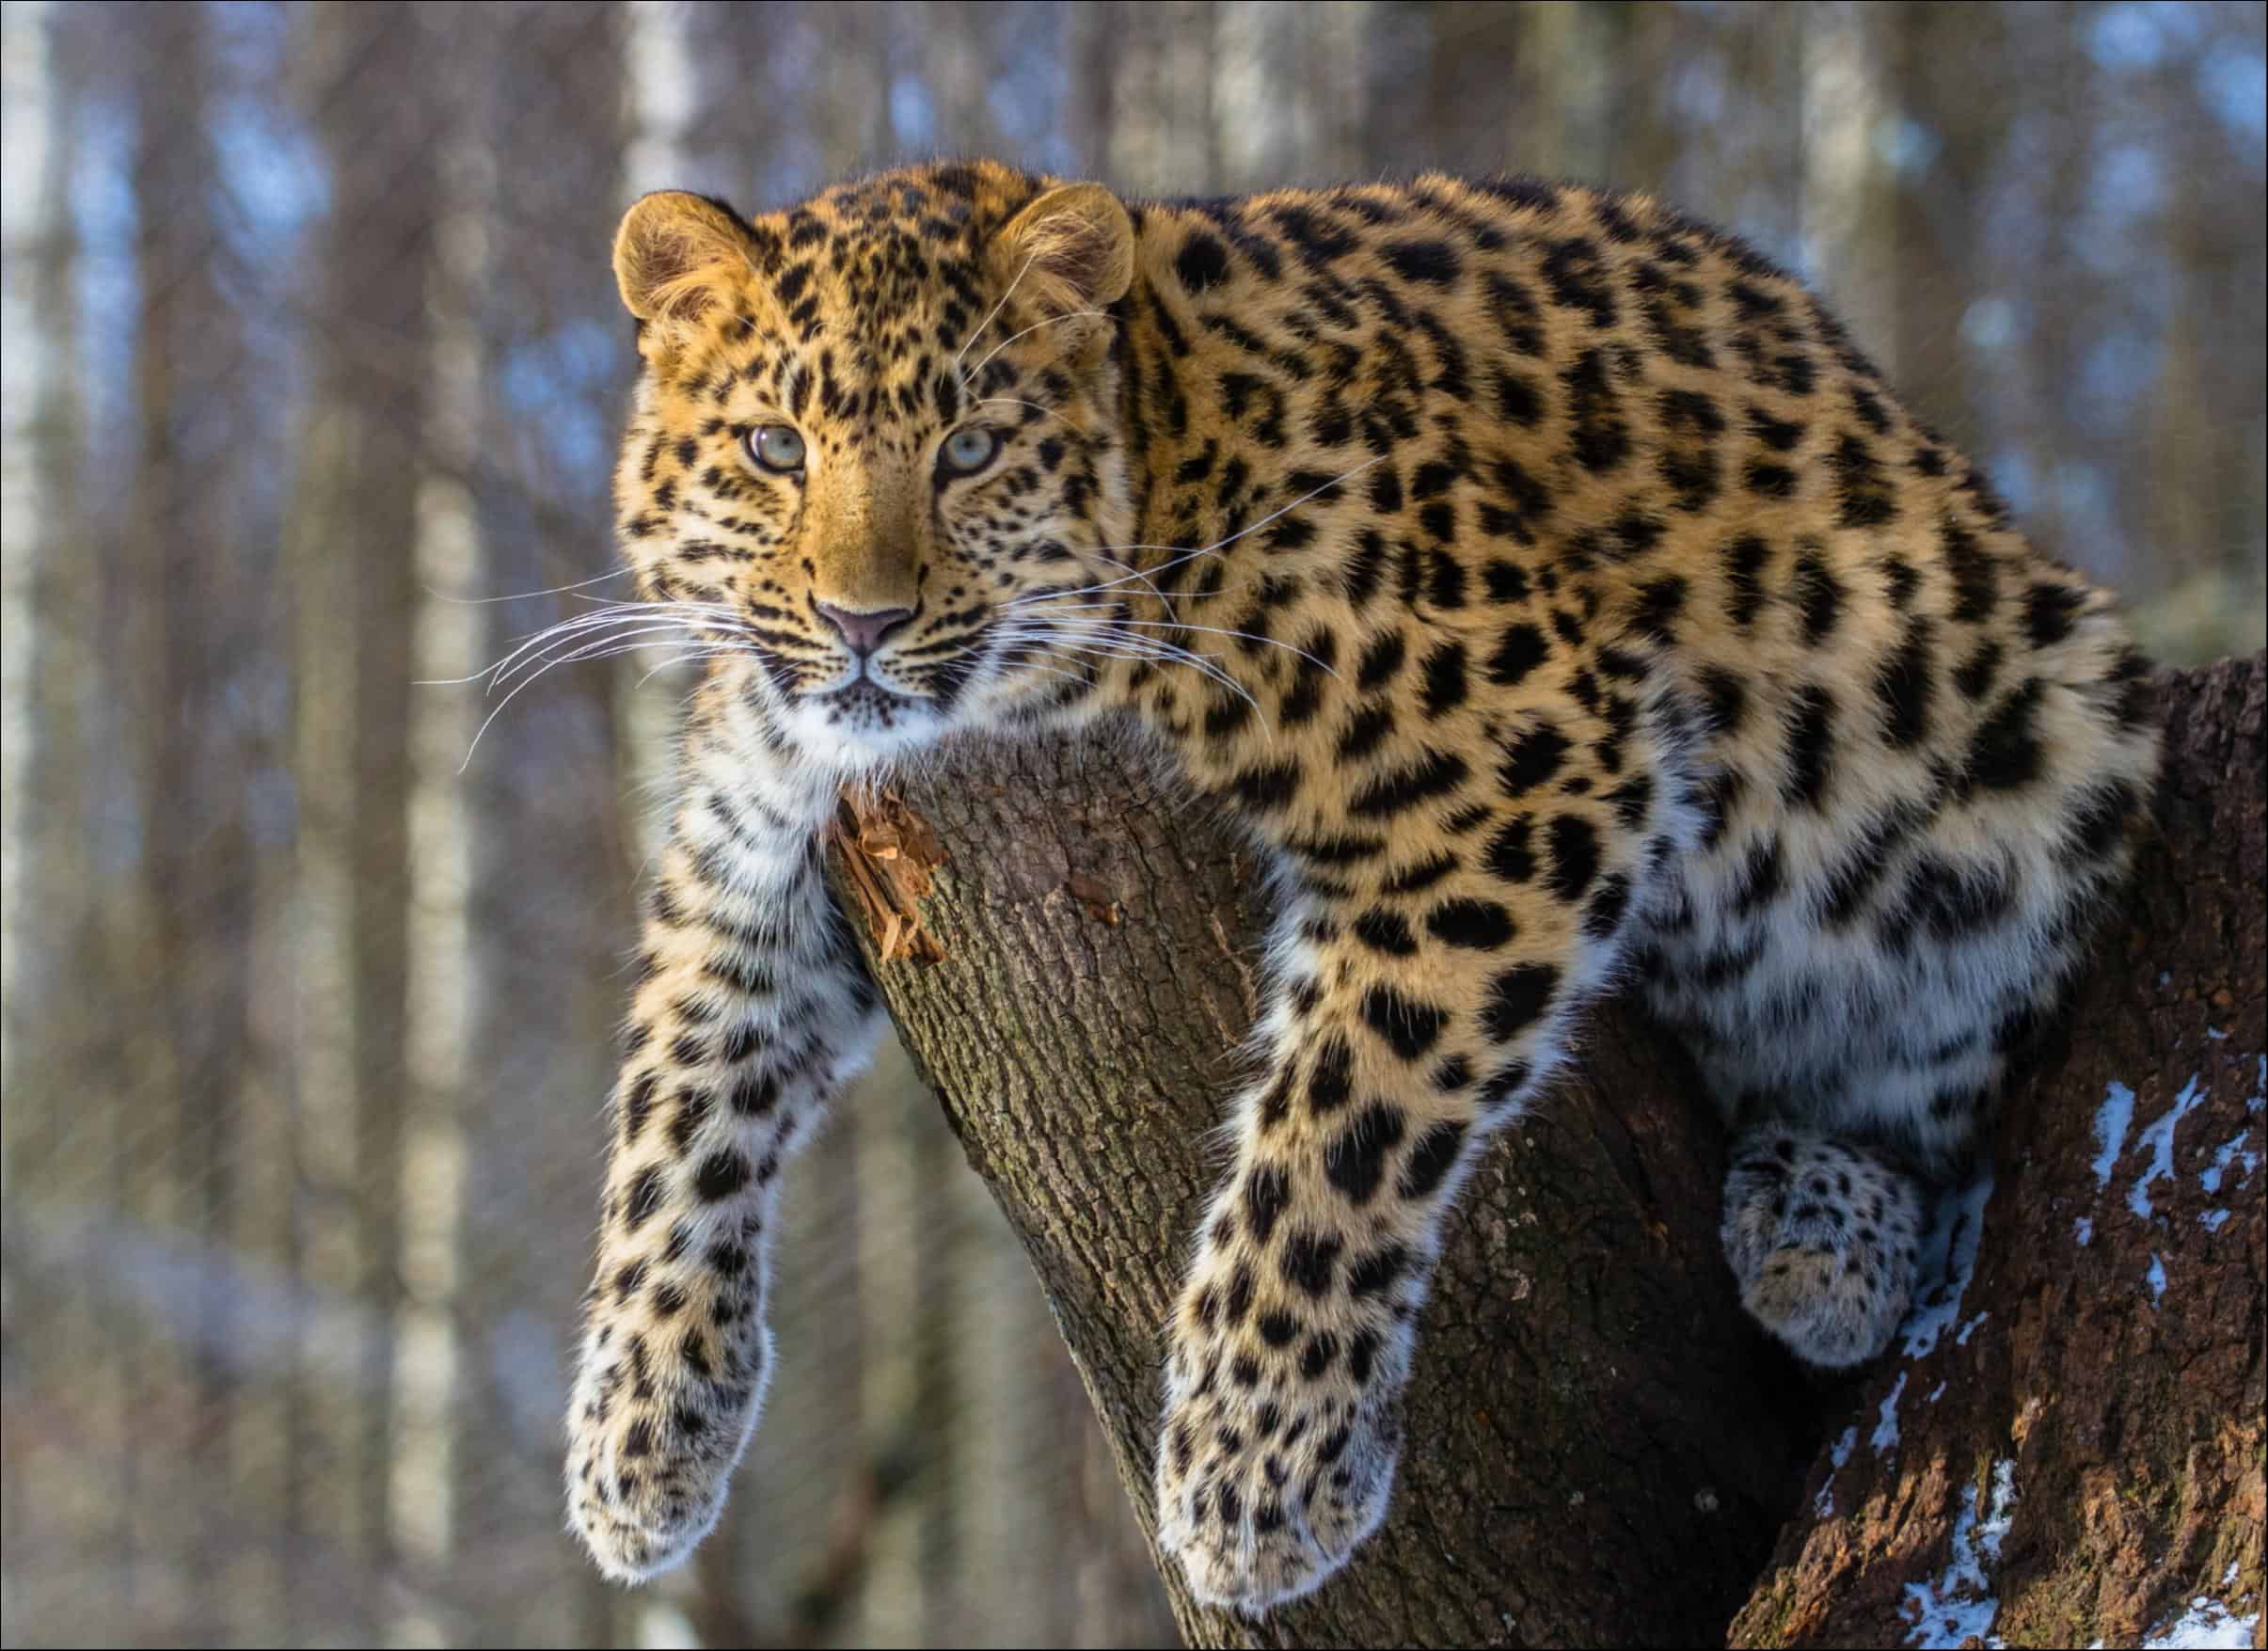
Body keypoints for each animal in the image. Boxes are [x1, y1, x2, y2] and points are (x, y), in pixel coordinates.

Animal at [560, 159, 2161, 1614]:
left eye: (967, 449)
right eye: (771, 445)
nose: (861, 622)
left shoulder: (1531, 755)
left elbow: (1344, 1106)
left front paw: (1252, 1470)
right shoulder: (749, 840)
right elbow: (672, 1102)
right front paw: (633, 1438)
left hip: (2029, 758)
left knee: (1943, 1105)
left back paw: (1824, 1228)